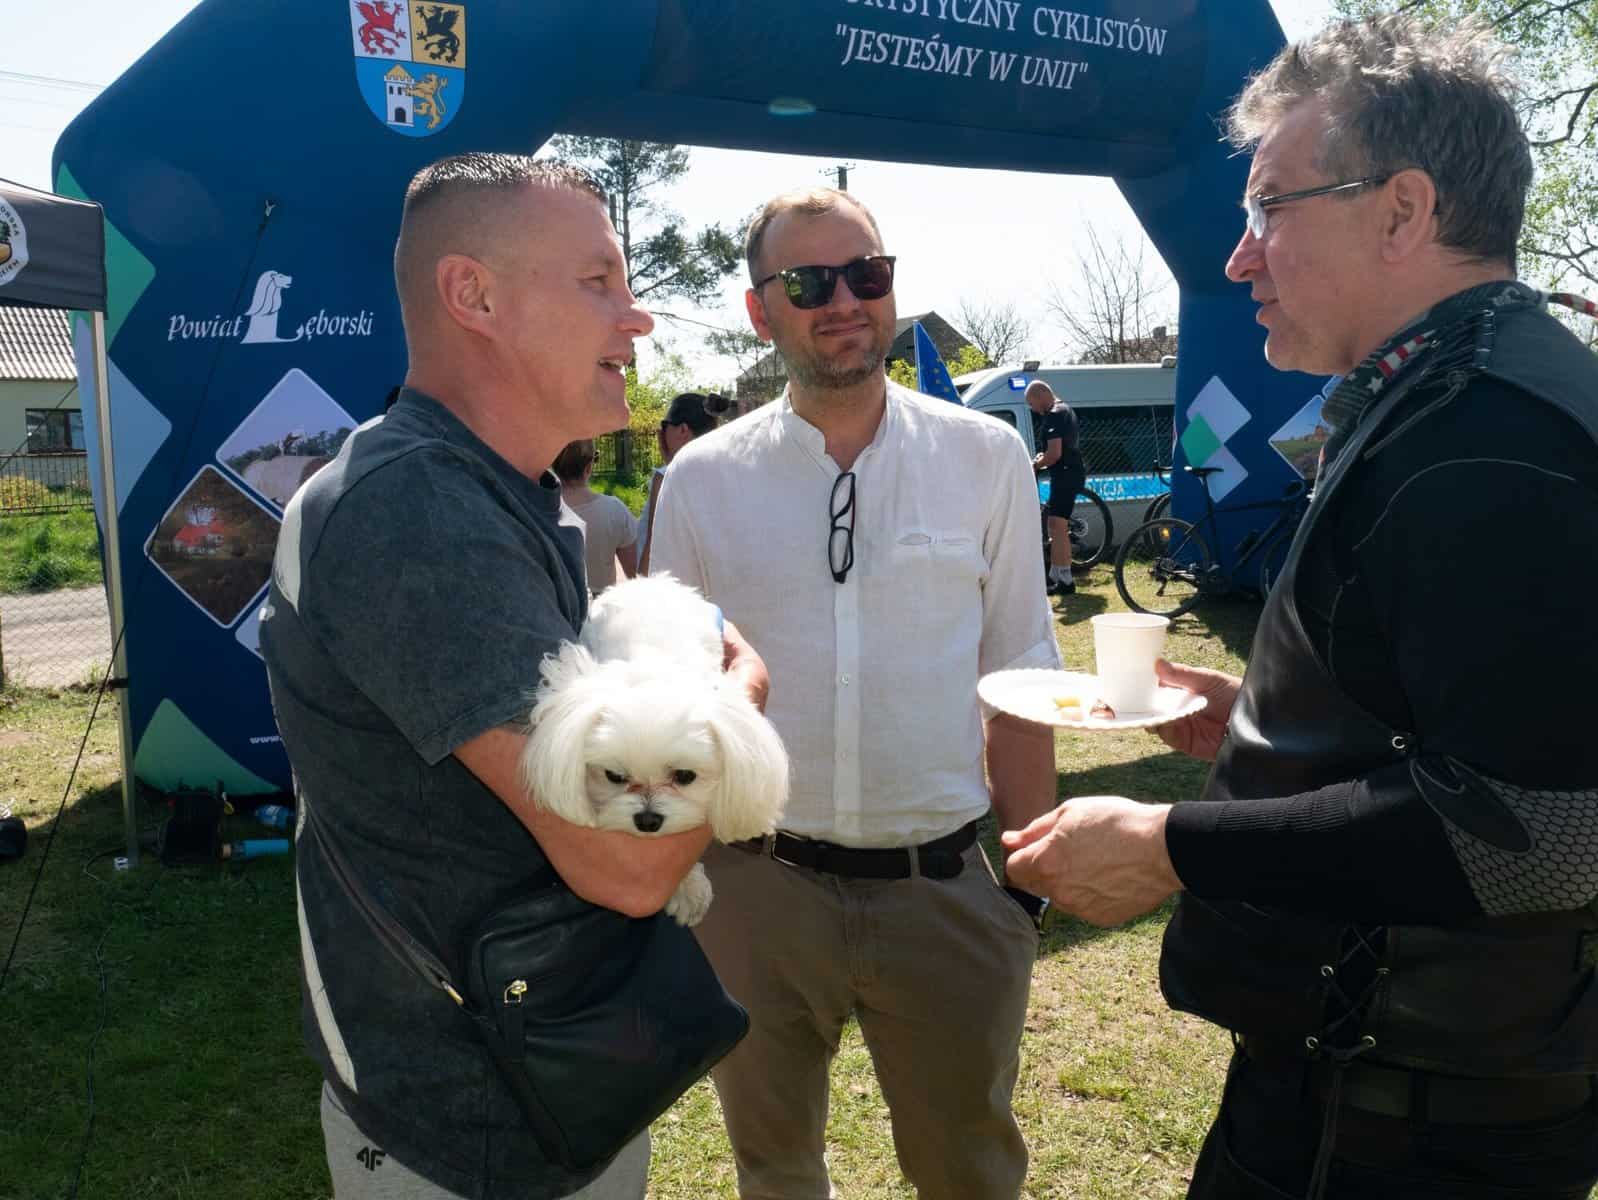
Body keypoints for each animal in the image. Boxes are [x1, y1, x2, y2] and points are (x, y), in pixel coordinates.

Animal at [520, 575, 789, 925]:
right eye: (614, 776)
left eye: (685, 776)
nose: (647, 820)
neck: (654, 666)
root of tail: (649, 581)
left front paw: (688, 888)